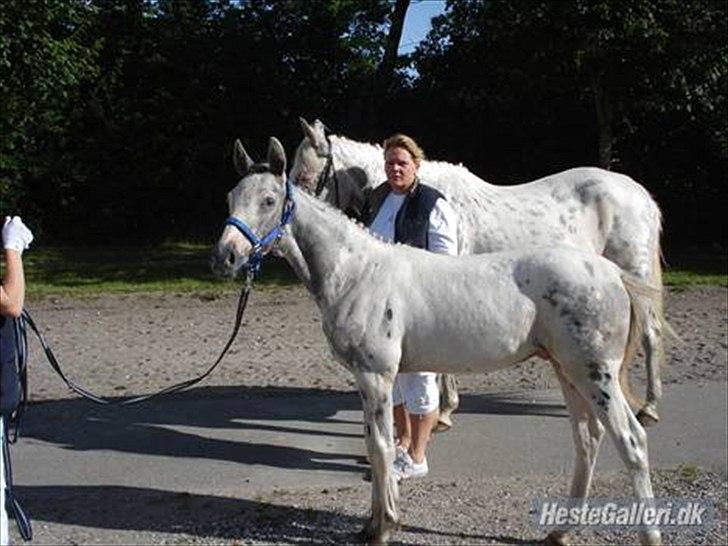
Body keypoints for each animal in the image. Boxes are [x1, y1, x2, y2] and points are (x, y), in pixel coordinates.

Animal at [290, 118, 672, 424]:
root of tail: (639, 193)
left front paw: (444, 412)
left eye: (305, 175)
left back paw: (650, 407)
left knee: (651, 335)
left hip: (634, 273)